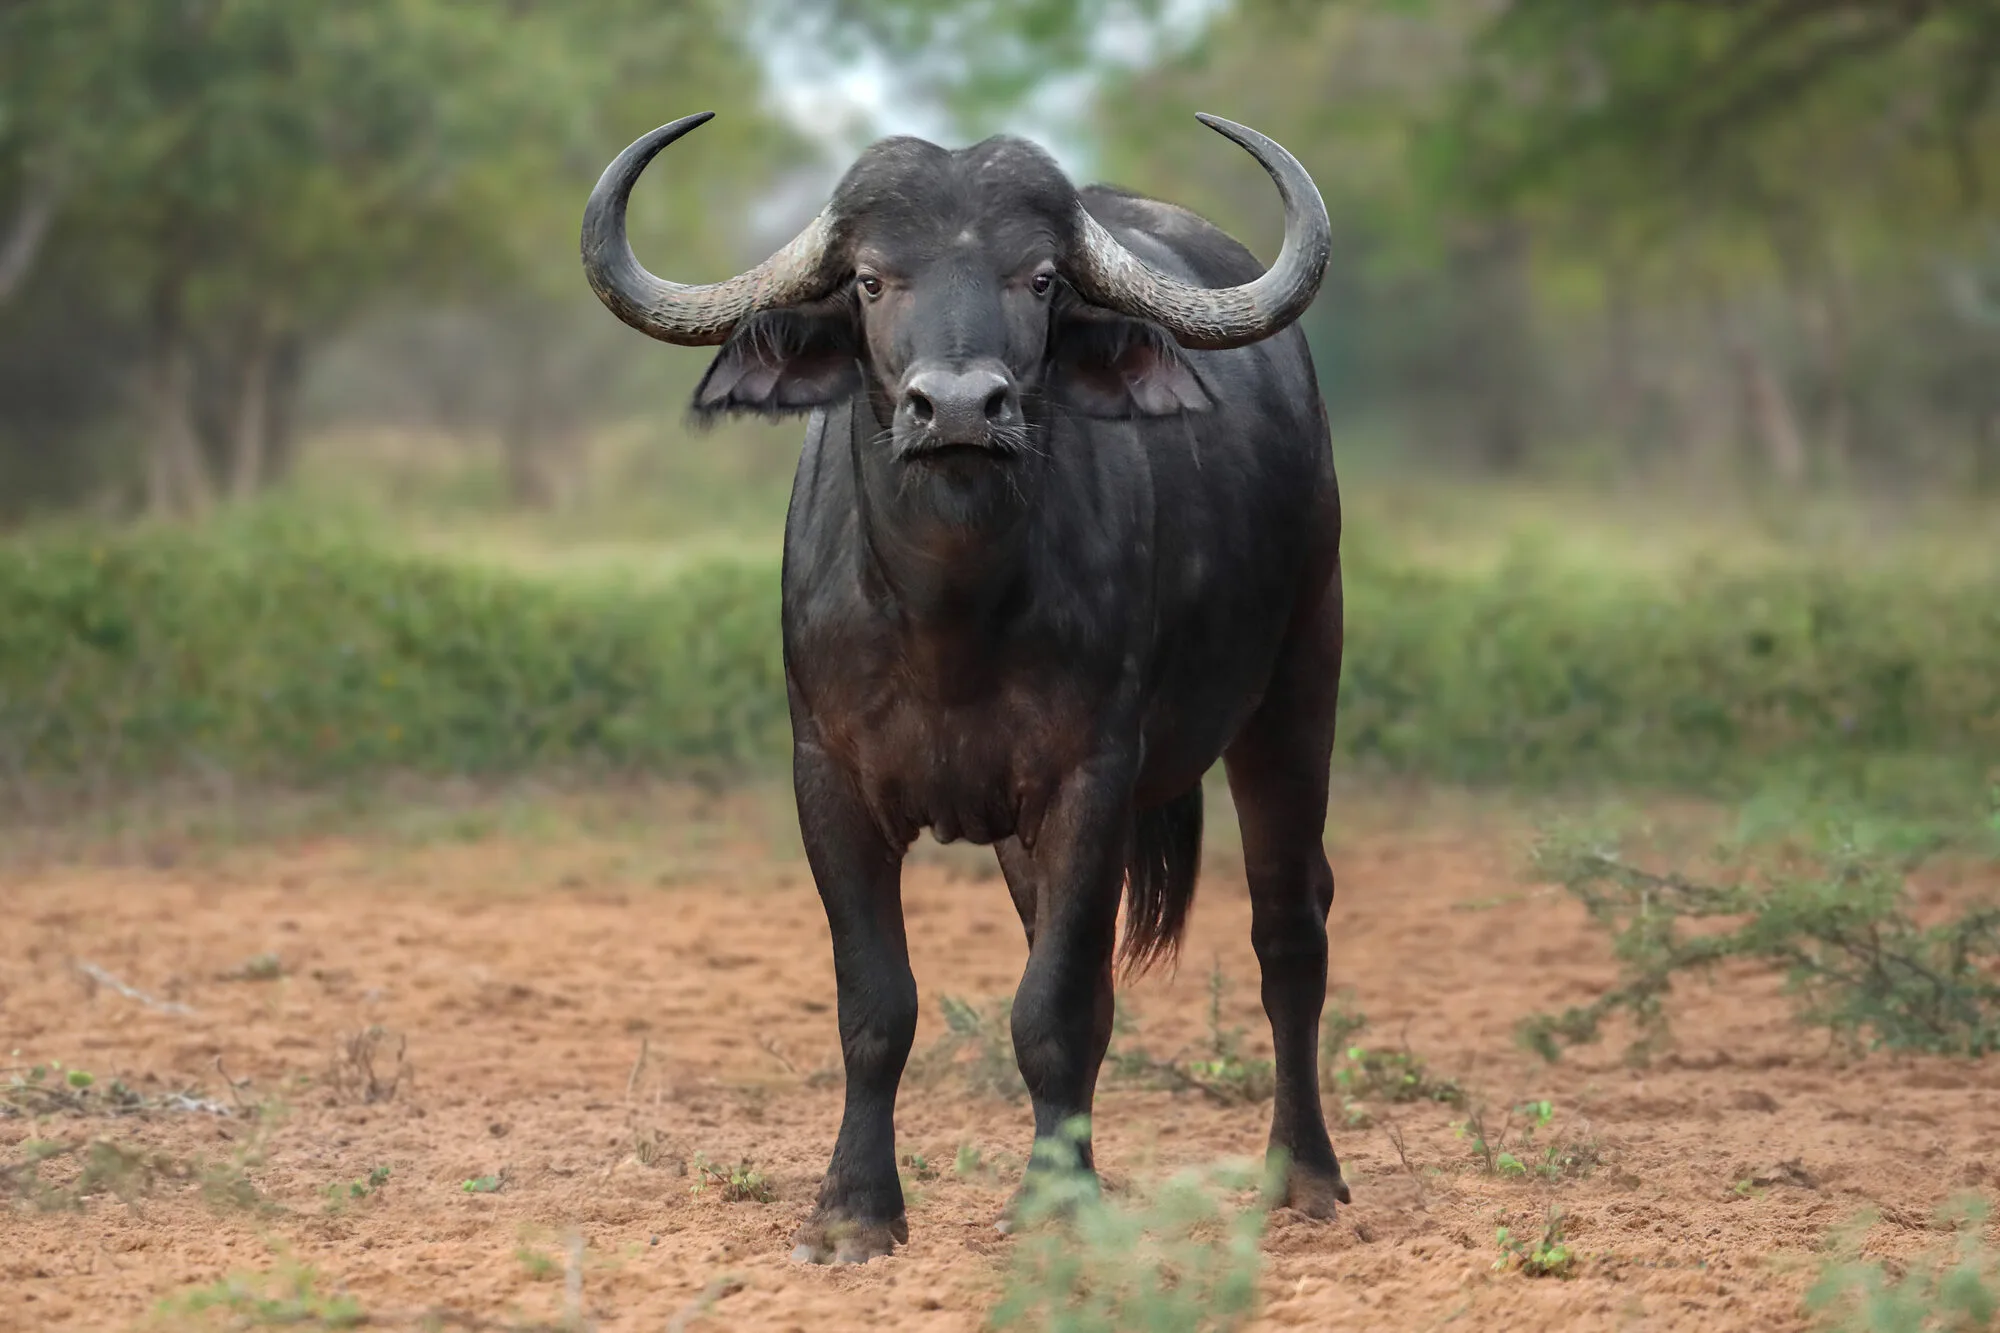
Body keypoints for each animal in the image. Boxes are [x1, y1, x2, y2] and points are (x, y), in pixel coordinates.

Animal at [581, 110, 1345, 1264]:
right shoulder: (827, 780)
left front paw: (1056, 1208)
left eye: (1038, 278)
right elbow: (879, 1005)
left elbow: (1054, 1010)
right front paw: (853, 1209)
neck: (949, 613)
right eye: (868, 279)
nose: (955, 408)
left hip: (1299, 681)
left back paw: (1302, 1176)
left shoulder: (1091, 782)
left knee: (1287, 927)